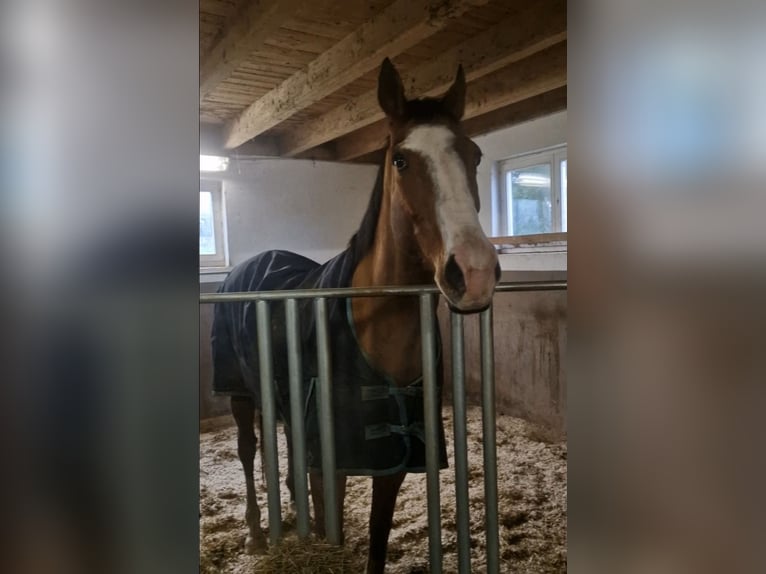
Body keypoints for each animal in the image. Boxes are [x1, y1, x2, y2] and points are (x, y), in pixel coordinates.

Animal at [211, 57, 500, 574]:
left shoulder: (394, 458)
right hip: (238, 392)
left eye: (475, 154)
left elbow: (377, 539)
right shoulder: (333, 456)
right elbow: (332, 521)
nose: (474, 272)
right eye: (401, 160)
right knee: (246, 452)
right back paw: (256, 536)